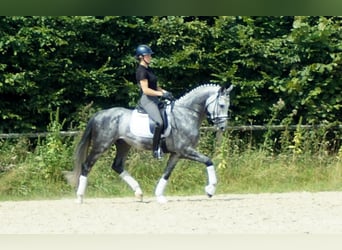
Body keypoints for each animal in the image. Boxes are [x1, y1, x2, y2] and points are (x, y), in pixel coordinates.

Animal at [64, 83, 234, 204]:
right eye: (222, 105)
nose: (222, 127)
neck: (186, 114)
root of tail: (100, 114)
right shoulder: (186, 150)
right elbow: (208, 161)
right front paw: (210, 190)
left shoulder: (177, 153)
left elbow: (167, 173)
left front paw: (160, 196)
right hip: (101, 145)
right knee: (87, 165)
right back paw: (80, 197)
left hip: (123, 144)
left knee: (117, 166)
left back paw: (138, 193)